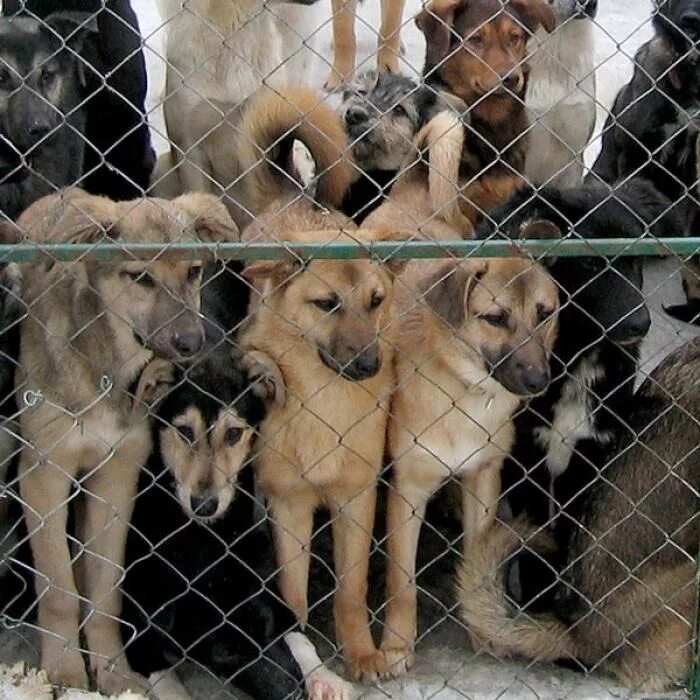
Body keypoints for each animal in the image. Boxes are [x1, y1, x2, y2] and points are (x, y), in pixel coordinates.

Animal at [12, 187, 238, 696]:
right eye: (140, 278)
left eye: (193, 271)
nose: (192, 343)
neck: (105, 367)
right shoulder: (44, 472)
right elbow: (57, 588)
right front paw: (66, 673)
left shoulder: (117, 473)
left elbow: (105, 587)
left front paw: (113, 670)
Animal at [380, 254, 560, 676]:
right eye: (495, 318)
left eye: (545, 313)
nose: (539, 380)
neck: (465, 394)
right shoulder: (408, 489)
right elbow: (401, 582)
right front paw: (396, 646)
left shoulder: (484, 479)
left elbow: (479, 560)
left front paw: (483, 631)